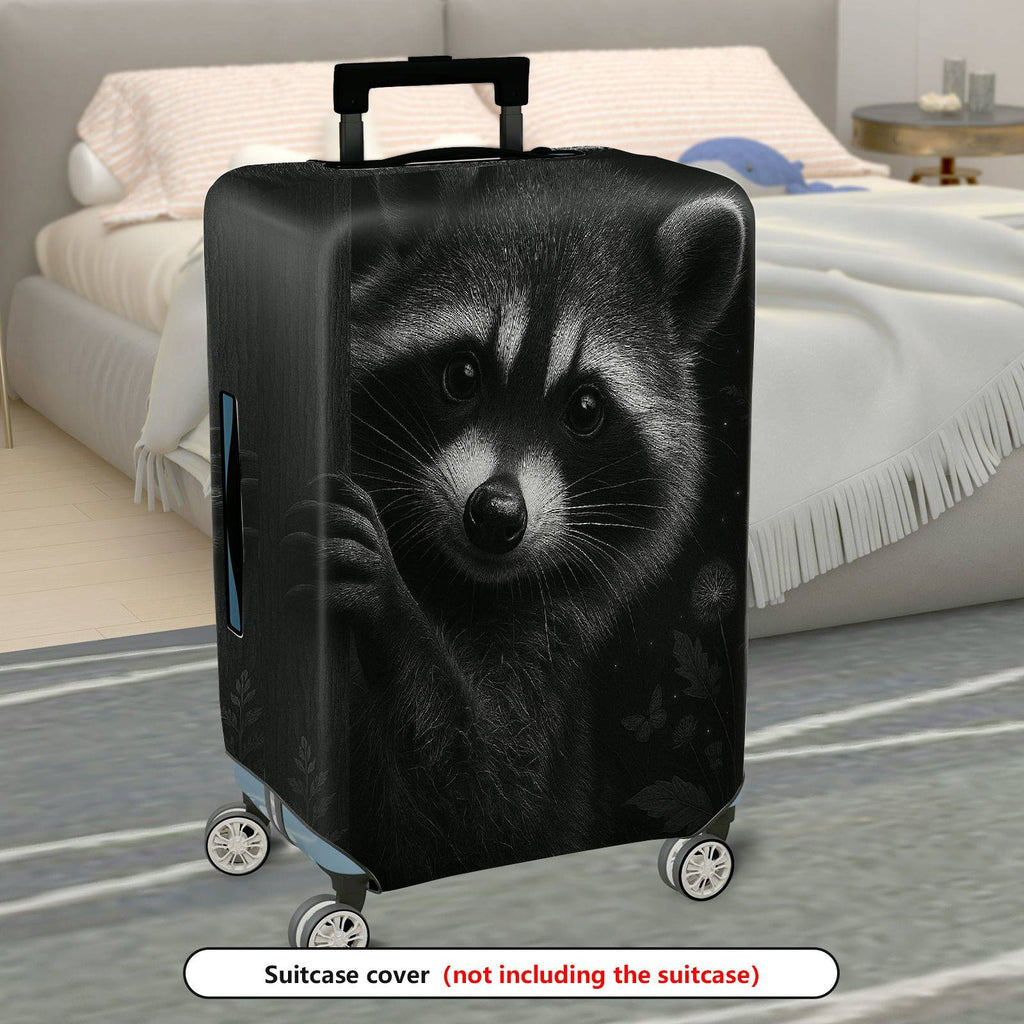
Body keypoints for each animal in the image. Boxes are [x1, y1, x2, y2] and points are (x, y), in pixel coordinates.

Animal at [283, 157, 748, 887]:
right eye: (461, 374)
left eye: (585, 408)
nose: (496, 516)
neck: (455, 579)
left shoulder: (546, 654)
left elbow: (489, 811)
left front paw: (393, 611)